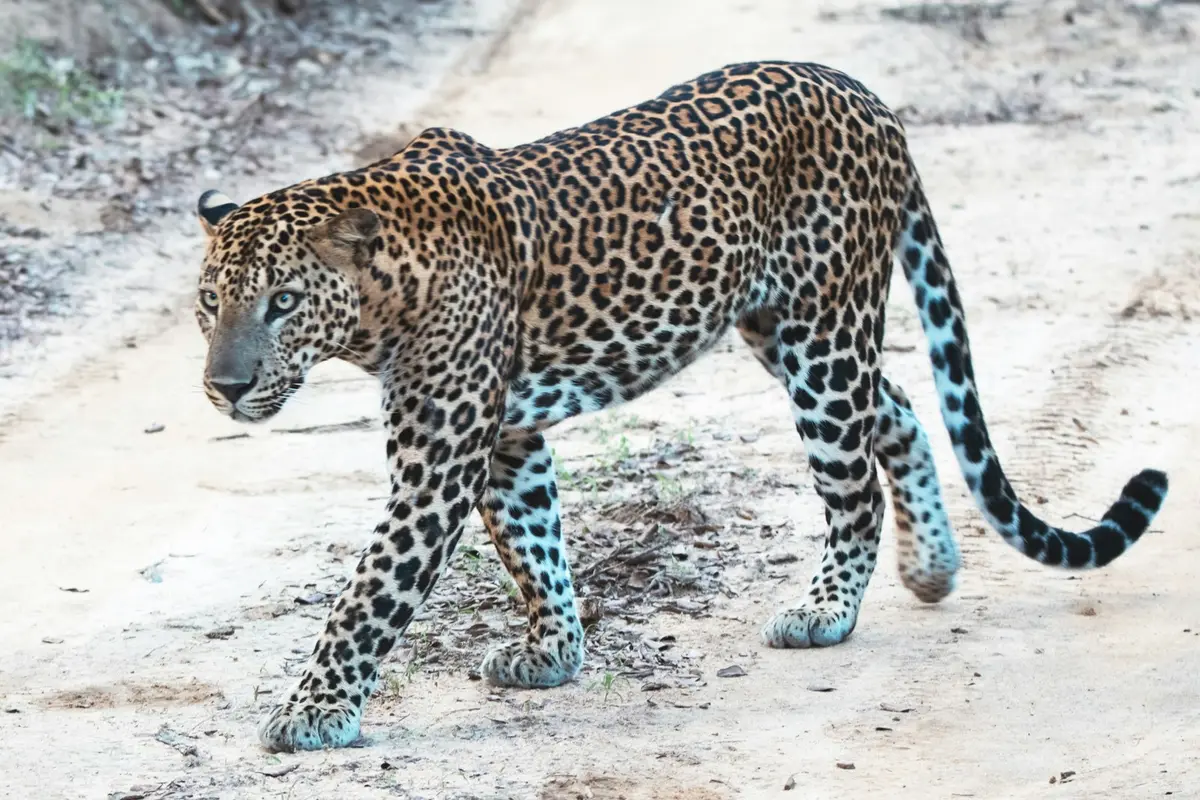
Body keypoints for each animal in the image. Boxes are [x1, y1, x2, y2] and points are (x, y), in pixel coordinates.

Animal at [192, 61, 1169, 753]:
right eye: (210, 303)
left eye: (283, 302)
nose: (224, 385)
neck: (382, 293)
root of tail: (864, 94)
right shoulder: (507, 439)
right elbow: (534, 550)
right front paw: (554, 654)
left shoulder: (440, 462)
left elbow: (367, 598)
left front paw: (312, 714)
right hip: (784, 329)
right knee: (893, 410)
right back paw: (930, 567)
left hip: (822, 336)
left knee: (853, 485)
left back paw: (827, 612)